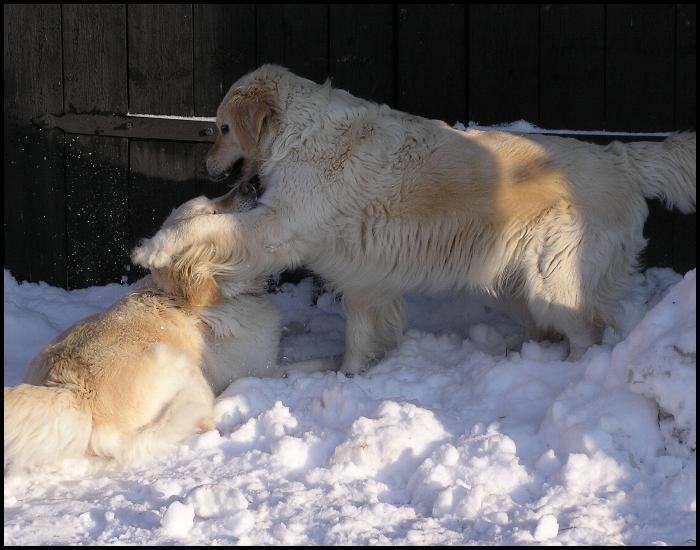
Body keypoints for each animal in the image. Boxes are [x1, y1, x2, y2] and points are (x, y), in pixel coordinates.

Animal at [131, 64, 696, 374]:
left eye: (222, 129)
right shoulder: (360, 272)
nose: (204, 167)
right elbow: (359, 335)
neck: (299, 132)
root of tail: (622, 157)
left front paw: (154, 246)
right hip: (516, 278)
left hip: (551, 278)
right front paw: (351, 375)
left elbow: (202, 224)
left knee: (589, 332)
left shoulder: (280, 227)